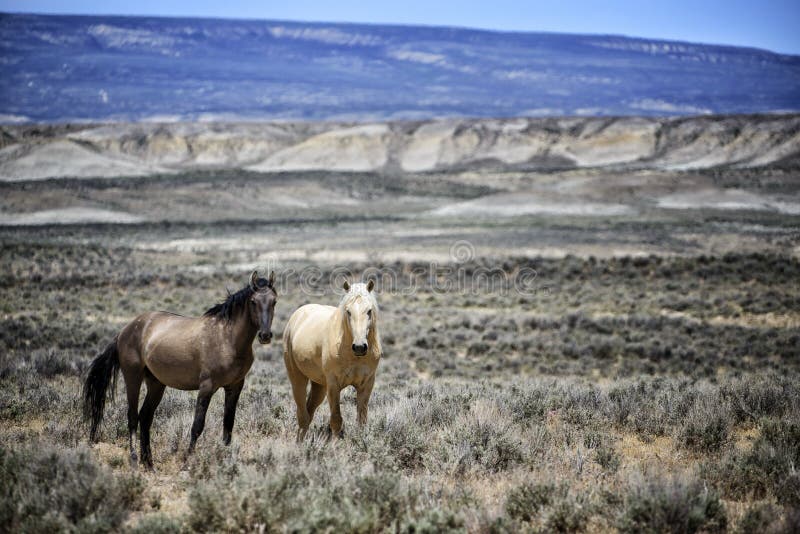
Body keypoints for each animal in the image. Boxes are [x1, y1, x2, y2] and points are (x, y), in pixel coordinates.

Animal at [83, 272, 278, 468]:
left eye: (274, 301)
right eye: (253, 301)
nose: (265, 336)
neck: (227, 338)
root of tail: (125, 330)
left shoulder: (235, 387)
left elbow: (228, 427)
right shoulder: (207, 387)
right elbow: (197, 426)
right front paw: (188, 462)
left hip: (156, 384)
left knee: (145, 418)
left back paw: (149, 464)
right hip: (133, 377)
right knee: (132, 417)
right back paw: (134, 459)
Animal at [282, 280, 382, 440]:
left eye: (369, 311)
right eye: (348, 311)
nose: (359, 347)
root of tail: (297, 315)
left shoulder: (366, 384)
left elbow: (362, 420)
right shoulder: (334, 384)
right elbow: (336, 420)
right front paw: (335, 445)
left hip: (319, 386)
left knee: (309, 412)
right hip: (298, 379)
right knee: (302, 415)